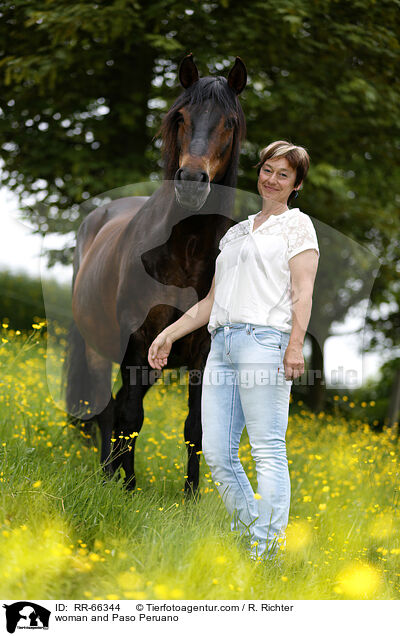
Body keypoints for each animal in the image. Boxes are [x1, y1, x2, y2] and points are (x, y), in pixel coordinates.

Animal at [65, 53, 247, 492]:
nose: (193, 181)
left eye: (229, 122)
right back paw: (109, 475)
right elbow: (131, 418)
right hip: (100, 348)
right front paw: (128, 489)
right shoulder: (139, 339)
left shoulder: (201, 352)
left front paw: (191, 497)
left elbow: (196, 426)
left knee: (115, 406)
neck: (188, 250)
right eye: (180, 117)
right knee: (107, 409)